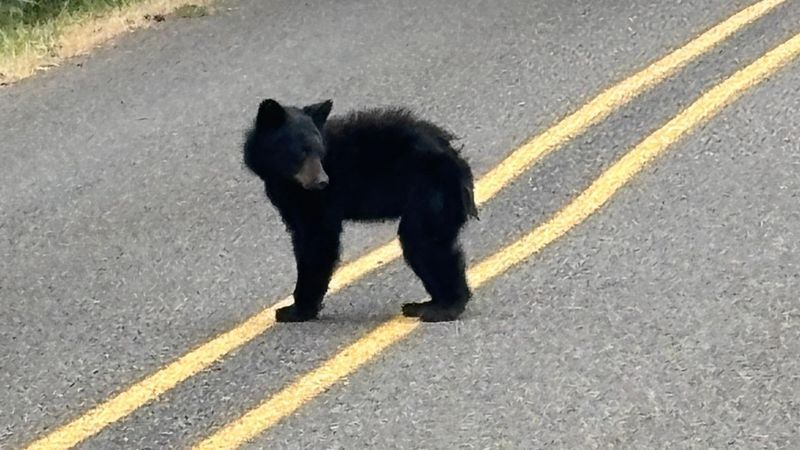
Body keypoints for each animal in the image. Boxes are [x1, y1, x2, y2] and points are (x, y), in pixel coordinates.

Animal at [243, 98, 478, 322]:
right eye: (300, 151)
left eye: (319, 151)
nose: (322, 181)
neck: (285, 180)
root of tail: (460, 165)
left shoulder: (320, 200)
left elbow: (317, 240)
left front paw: (296, 309)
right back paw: (423, 304)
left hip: (428, 192)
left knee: (423, 240)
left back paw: (443, 307)